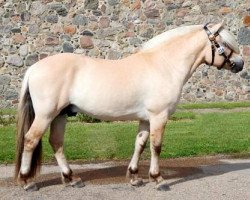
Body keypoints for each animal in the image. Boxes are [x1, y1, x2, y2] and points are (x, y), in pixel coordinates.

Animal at [14, 22, 244, 191]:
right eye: (224, 43)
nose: (241, 64)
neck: (164, 65)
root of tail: (33, 68)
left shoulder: (145, 118)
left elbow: (140, 144)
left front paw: (134, 178)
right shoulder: (159, 116)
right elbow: (156, 146)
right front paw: (158, 179)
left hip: (60, 115)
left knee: (56, 142)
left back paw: (71, 179)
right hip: (46, 115)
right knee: (31, 140)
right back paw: (27, 181)